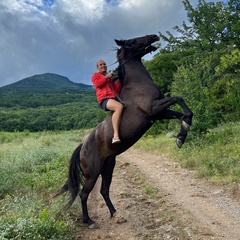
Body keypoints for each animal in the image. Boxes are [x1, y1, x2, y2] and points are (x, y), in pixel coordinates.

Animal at [54, 34, 193, 229]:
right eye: (133, 40)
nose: (154, 36)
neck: (137, 84)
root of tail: (82, 147)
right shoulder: (154, 108)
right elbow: (177, 97)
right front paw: (182, 133)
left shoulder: (159, 113)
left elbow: (181, 113)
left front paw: (182, 134)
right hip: (93, 173)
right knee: (84, 194)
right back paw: (89, 221)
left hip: (108, 166)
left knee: (104, 190)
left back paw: (115, 214)